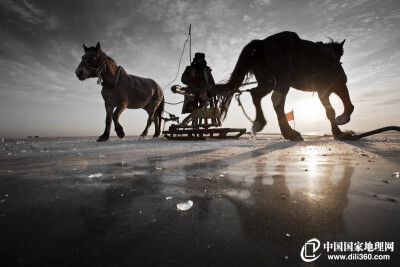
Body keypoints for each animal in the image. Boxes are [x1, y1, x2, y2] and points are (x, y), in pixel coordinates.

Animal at [217, 31, 354, 141]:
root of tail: (262, 43)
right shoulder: (338, 85)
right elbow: (346, 105)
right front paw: (342, 122)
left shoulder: (322, 92)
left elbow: (330, 111)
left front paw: (337, 131)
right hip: (283, 80)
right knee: (277, 100)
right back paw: (290, 133)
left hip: (268, 82)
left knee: (256, 94)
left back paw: (259, 122)